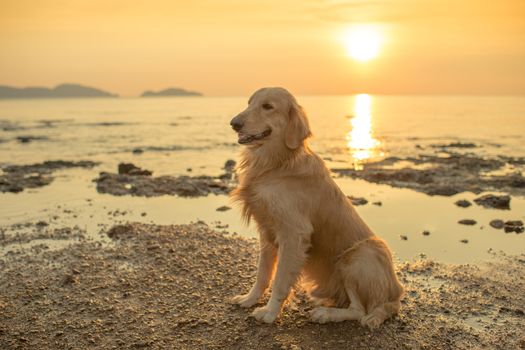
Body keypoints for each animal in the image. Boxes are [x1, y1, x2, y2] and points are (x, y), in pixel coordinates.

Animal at [227, 87, 404, 328]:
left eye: (268, 106)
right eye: (249, 103)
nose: (234, 123)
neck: (276, 163)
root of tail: (395, 295)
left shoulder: (294, 234)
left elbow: (280, 280)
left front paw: (270, 313)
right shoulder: (266, 231)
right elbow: (262, 274)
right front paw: (249, 299)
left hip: (358, 256)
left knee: (359, 311)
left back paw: (325, 314)